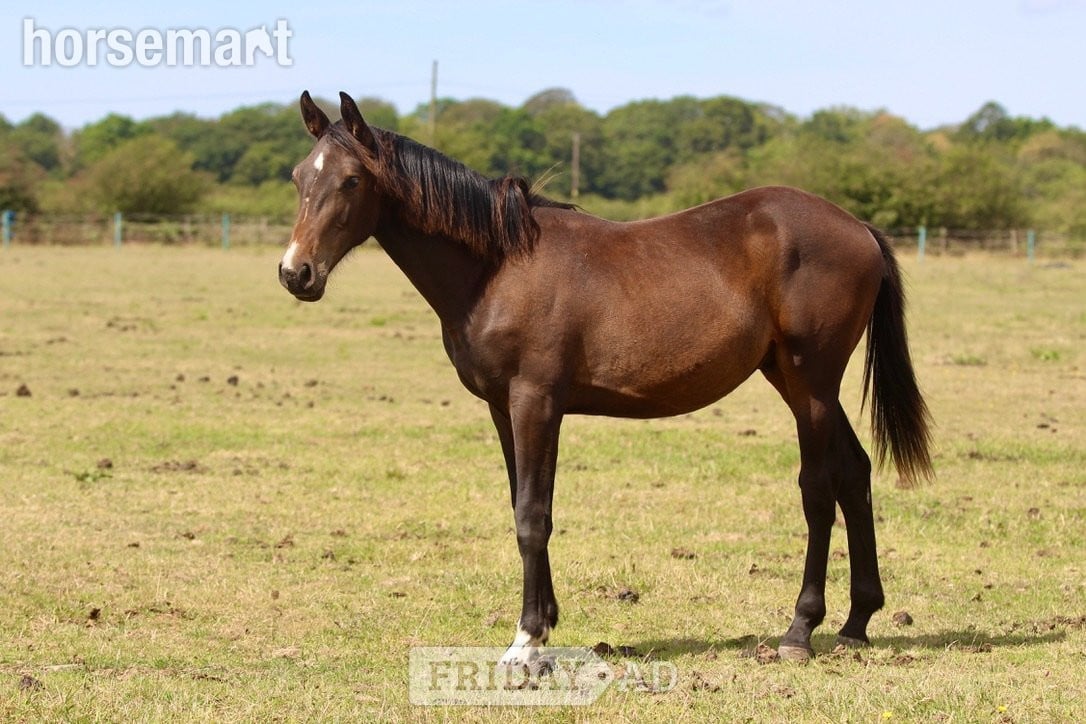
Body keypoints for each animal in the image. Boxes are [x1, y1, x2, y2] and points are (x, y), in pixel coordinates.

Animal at [278, 91, 932, 664]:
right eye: (298, 176)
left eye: (351, 180)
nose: (295, 272)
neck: (497, 267)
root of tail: (858, 228)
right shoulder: (502, 407)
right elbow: (523, 504)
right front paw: (544, 622)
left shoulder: (536, 402)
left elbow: (532, 515)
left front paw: (527, 641)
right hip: (795, 381)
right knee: (855, 473)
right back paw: (856, 621)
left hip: (810, 384)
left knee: (818, 488)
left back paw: (800, 630)